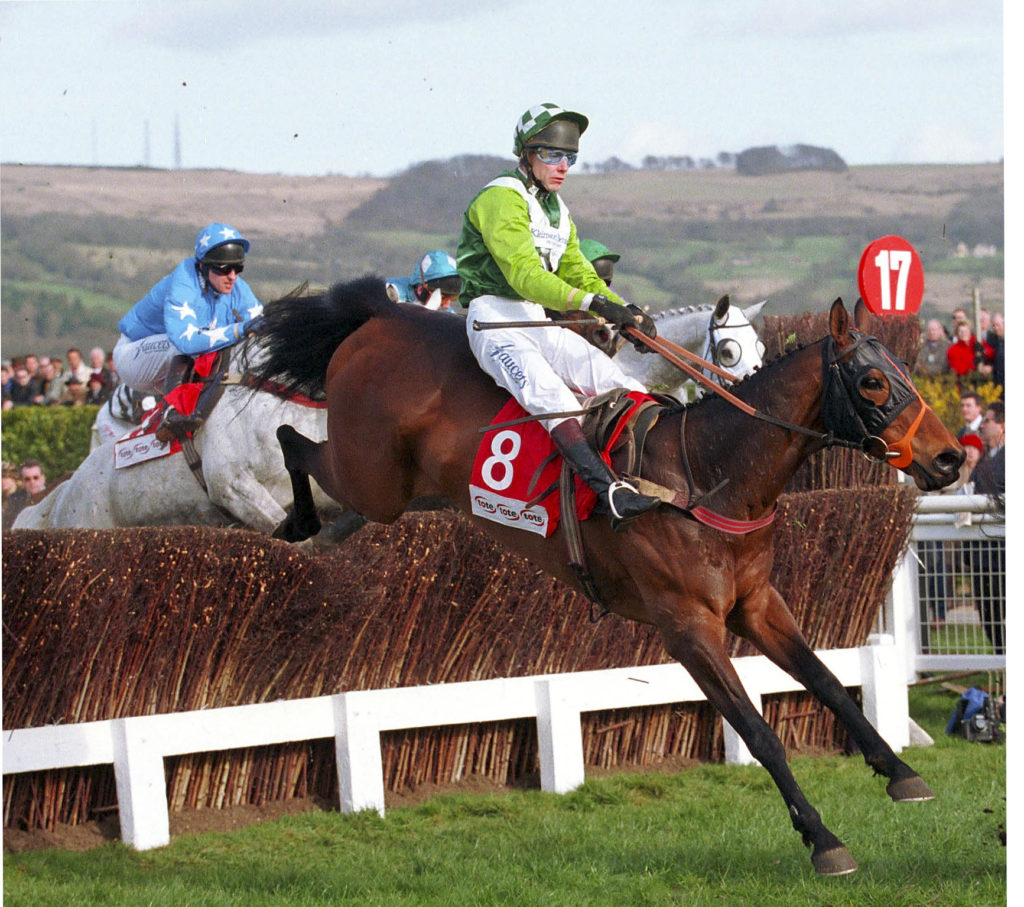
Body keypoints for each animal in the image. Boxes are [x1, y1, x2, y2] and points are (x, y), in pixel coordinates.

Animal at [247, 278, 958, 880]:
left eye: (903, 372)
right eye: (872, 381)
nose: (951, 458)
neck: (707, 473)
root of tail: (385, 315)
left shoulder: (757, 603)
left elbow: (832, 686)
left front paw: (900, 772)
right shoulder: (688, 627)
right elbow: (759, 732)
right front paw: (823, 839)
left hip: (381, 489)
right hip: (372, 475)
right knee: (290, 438)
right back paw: (297, 523)